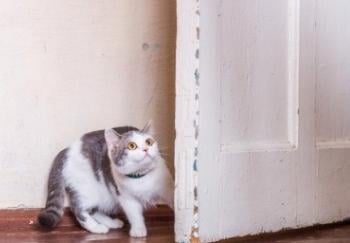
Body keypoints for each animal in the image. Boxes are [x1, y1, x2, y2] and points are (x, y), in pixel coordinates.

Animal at [37, 122, 174, 236]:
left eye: (149, 142)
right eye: (132, 146)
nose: (146, 149)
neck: (140, 177)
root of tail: (66, 150)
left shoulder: (167, 187)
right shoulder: (126, 197)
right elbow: (134, 215)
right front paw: (138, 230)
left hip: (105, 196)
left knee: (94, 210)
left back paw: (112, 223)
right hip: (87, 190)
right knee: (78, 210)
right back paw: (96, 228)